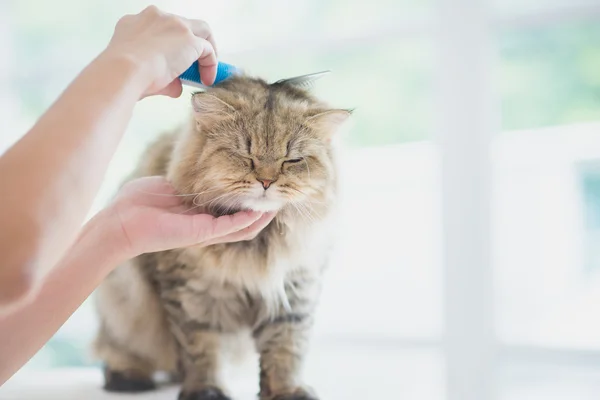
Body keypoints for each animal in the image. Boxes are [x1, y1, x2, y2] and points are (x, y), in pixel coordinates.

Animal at [91, 72, 350, 400]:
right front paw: (206, 390)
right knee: (115, 349)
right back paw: (127, 376)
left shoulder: (295, 287)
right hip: (122, 304)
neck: (259, 244)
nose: (266, 181)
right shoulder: (194, 294)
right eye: (245, 154)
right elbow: (203, 348)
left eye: (291, 160)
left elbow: (286, 347)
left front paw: (286, 389)